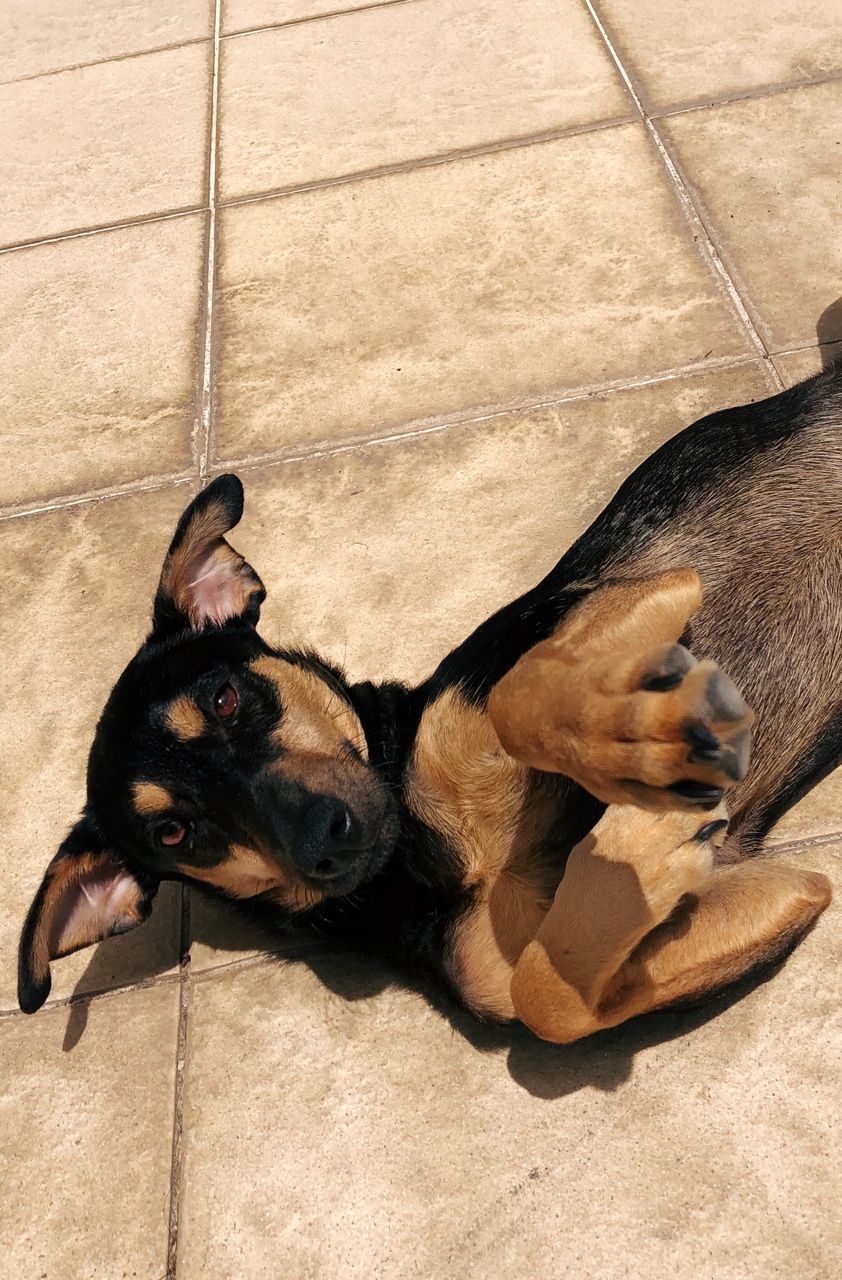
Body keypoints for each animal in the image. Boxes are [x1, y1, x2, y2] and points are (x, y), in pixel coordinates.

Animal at [16, 363, 834, 1039]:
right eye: (174, 834)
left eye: (223, 700)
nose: (324, 840)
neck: (416, 860)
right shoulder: (757, 894)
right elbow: (549, 1001)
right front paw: (646, 840)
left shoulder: (621, 597)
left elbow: (517, 703)